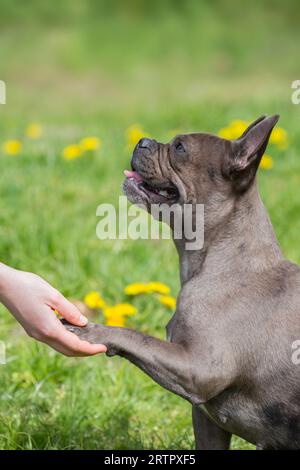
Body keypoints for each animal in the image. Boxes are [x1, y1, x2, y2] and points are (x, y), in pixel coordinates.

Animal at [64, 115, 300, 450]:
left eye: (179, 148)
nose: (143, 141)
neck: (220, 260)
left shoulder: (199, 368)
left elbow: (137, 337)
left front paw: (92, 331)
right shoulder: (207, 419)